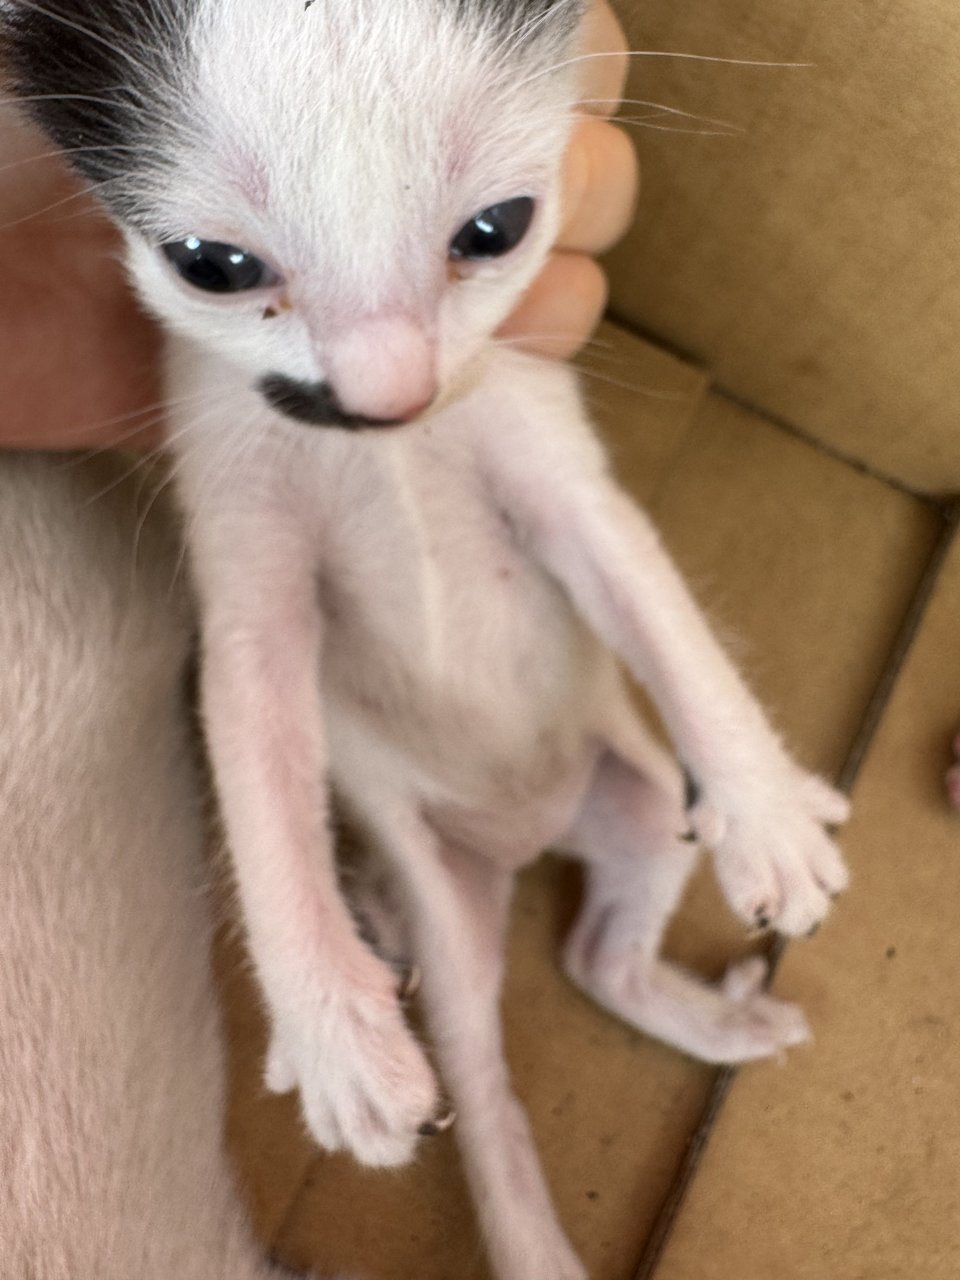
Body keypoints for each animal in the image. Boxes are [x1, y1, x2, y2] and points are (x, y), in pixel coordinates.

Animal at [3, 5, 855, 1274]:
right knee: (492, 1040)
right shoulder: (244, 578)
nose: (386, 398)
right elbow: (256, 761)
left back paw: (711, 1011)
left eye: (496, 230)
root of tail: (522, 839)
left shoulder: (561, 473)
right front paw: (332, 1027)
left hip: (644, 799)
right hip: (435, 873)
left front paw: (765, 805)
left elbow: (654, 603)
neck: (389, 454)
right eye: (212, 265)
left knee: (597, 955)